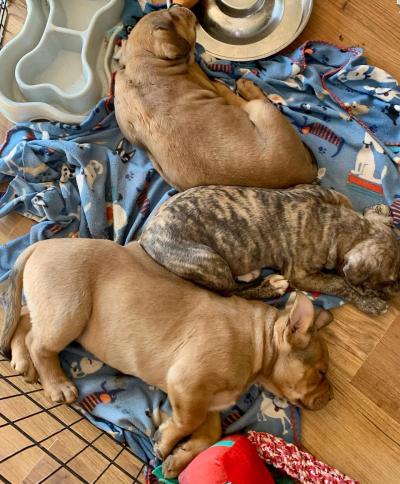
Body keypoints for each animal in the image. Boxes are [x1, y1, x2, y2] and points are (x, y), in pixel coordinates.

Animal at [0, 240, 332, 474]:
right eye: (321, 372)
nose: (330, 397)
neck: (259, 342)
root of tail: (42, 244)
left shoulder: (209, 401)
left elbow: (211, 432)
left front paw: (180, 459)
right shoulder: (189, 385)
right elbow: (188, 421)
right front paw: (165, 442)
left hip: (50, 307)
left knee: (23, 319)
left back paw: (21, 361)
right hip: (68, 311)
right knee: (39, 343)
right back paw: (56, 383)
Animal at [114, 6, 318, 191]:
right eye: (174, 17)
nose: (179, 6)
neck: (143, 61)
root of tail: (306, 174)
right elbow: (226, 92)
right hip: (262, 109)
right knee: (255, 101)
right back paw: (247, 86)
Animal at [140, 184, 400, 314]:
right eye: (389, 280)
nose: (396, 291)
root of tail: (146, 235)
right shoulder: (300, 275)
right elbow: (340, 283)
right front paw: (369, 301)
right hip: (207, 259)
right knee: (233, 292)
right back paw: (269, 286)